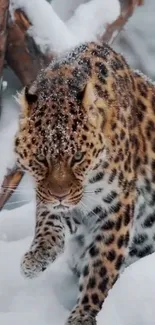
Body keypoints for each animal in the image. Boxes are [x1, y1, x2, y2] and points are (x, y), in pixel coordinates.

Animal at [14, 41, 155, 324]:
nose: (60, 195)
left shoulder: (116, 207)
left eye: (77, 157)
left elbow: (102, 265)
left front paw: (84, 313)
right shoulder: (54, 198)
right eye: (41, 158)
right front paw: (37, 257)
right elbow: (48, 222)